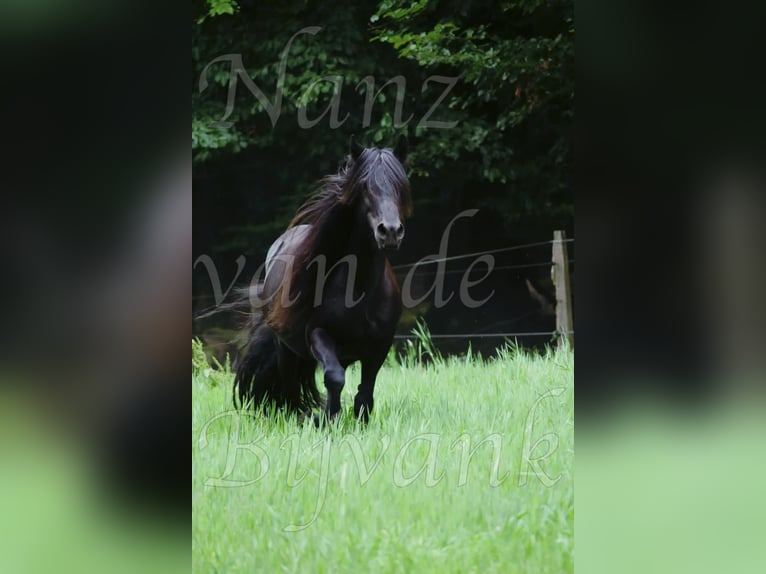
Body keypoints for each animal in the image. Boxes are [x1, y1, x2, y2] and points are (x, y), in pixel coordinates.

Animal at [234, 135, 412, 423]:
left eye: (400, 185)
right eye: (364, 186)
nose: (391, 231)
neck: (359, 288)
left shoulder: (381, 343)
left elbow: (366, 389)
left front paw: (358, 420)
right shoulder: (318, 334)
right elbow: (334, 378)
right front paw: (329, 418)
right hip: (286, 348)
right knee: (289, 383)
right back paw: (294, 415)